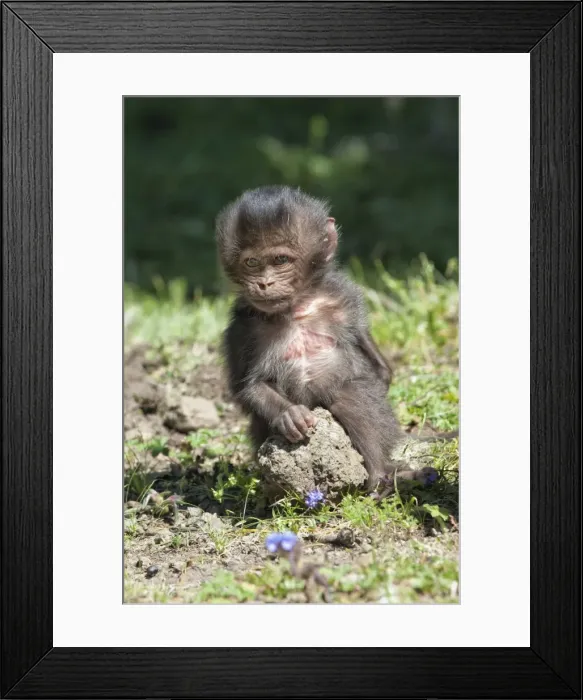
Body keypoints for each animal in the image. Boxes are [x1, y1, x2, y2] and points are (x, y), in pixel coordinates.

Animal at [215, 185, 441, 493]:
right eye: (251, 262)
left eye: (280, 260)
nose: (264, 283)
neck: (296, 309)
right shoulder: (241, 329)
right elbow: (248, 387)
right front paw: (289, 414)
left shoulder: (344, 298)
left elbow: (369, 359)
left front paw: (381, 377)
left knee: (348, 394)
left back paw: (382, 476)